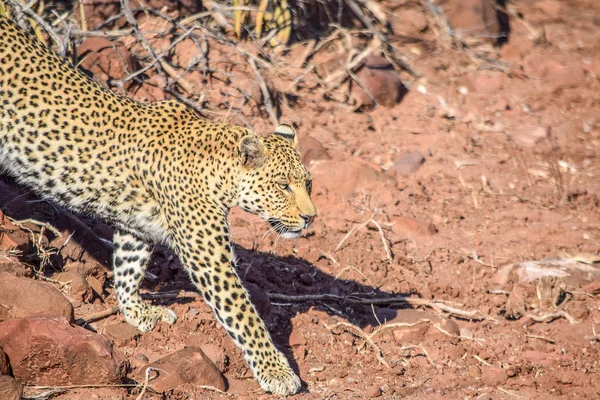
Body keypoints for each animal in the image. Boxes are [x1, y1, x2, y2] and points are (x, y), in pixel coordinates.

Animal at [0, 14, 316, 396]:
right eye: (283, 186)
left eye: (308, 184)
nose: (310, 218)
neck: (220, 172)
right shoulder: (210, 260)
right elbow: (245, 316)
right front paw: (276, 370)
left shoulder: (137, 227)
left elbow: (128, 268)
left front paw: (137, 311)